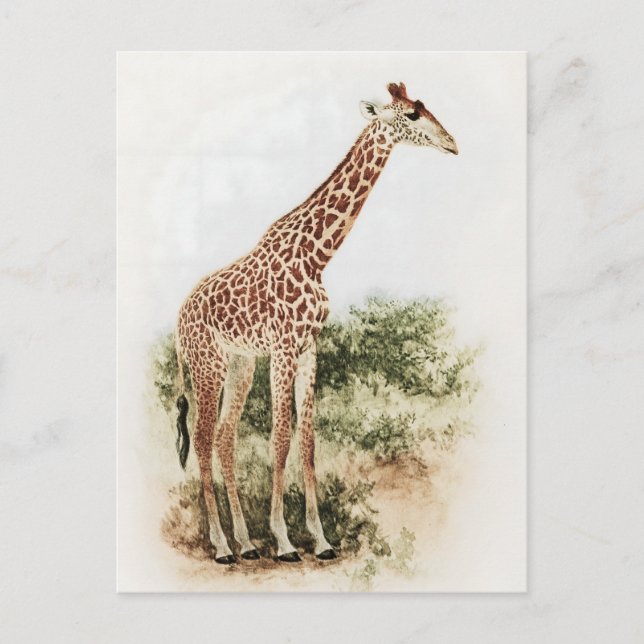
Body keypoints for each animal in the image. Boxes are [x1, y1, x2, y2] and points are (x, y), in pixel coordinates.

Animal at [174, 82, 458, 564]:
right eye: (411, 116)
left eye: (424, 108)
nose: (452, 143)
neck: (317, 255)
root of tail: (179, 317)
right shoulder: (284, 347)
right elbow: (280, 438)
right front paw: (285, 542)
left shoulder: (308, 347)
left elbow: (307, 441)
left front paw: (320, 540)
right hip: (208, 362)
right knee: (204, 437)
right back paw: (222, 547)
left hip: (240, 362)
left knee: (226, 436)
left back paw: (245, 543)